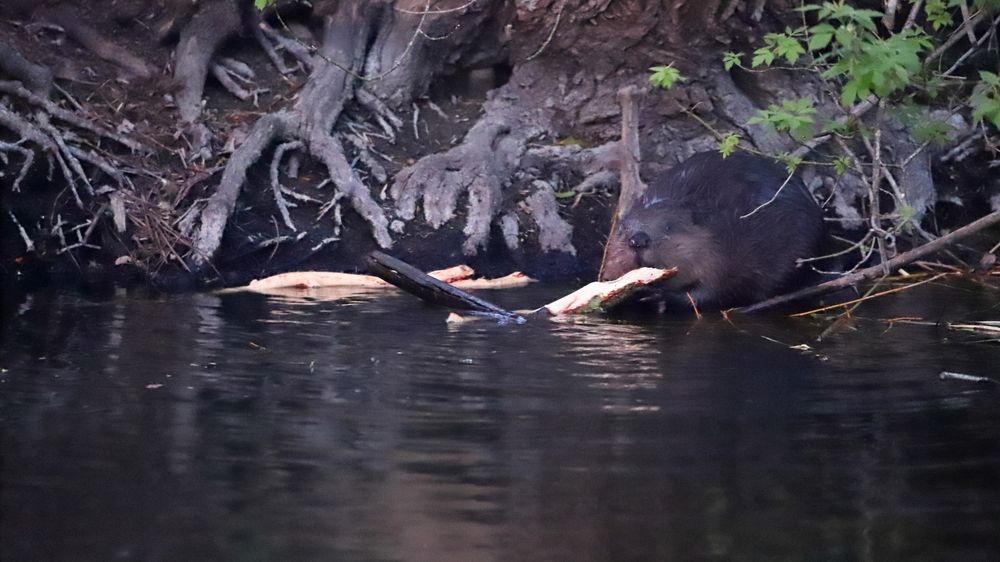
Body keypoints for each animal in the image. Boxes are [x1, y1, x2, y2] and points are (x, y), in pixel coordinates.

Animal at [600, 151, 820, 308]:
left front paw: (654, 296)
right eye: (623, 229)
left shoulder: (727, 254)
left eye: (668, 226)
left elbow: (711, 293)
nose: (638, 240)